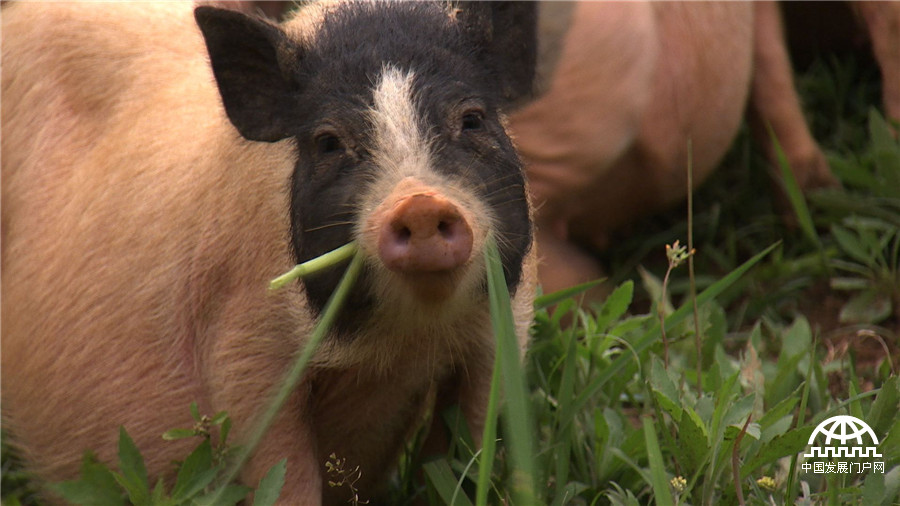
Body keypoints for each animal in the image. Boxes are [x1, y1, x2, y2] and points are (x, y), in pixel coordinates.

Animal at [0, 1, 536, 504]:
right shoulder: (243, 339)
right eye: (328, 141)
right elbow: (281, 467)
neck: (403, 341)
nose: (420, 202)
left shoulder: (501, 330)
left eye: (472, 119)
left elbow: (471, 444)